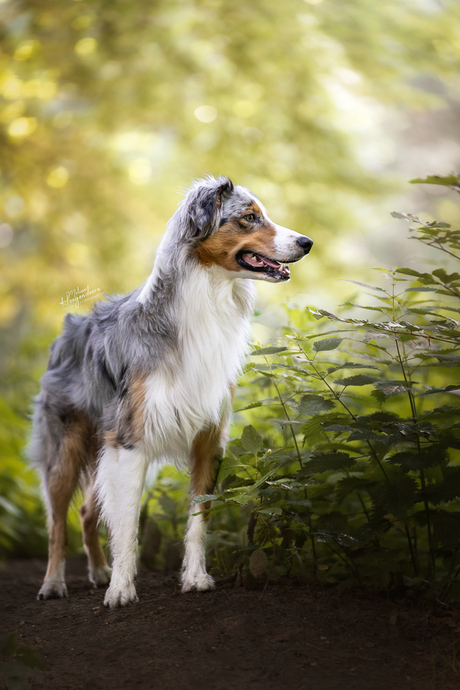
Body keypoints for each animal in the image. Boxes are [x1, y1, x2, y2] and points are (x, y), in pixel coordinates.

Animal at [29, 175, 312, 604]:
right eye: (249, 217)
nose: (307, 242)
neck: (208, 298)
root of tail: (68, 329)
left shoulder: (209, 437)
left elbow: (198, 518)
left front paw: (195, 578)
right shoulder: (131, 440)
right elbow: (127, 525)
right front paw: (121, 590)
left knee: (87, 512)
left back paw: (98, 570)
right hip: (66, 447)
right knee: (58, 520)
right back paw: (53, 582)